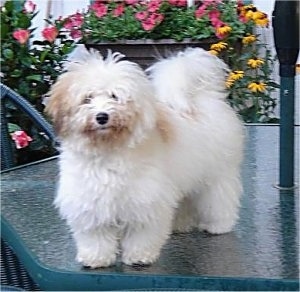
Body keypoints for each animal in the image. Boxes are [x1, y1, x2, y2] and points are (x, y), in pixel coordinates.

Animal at [45, 46, 245, 268]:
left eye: (115, 96)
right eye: (87, 98)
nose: (102, 117)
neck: (109, 149)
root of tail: (201, 97)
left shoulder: (145, 199)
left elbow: (141, 232)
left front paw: (139, 255)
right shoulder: (89, 199)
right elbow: (95, 235)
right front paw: (96, 258)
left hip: (218, 174)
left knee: (220, 199)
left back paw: (219, 224)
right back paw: (180, 225)